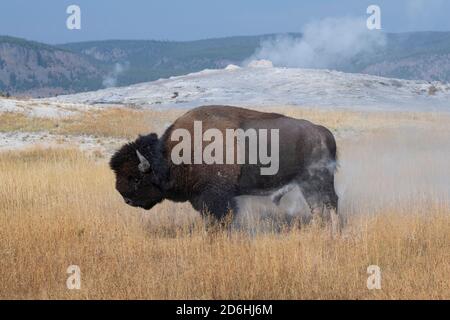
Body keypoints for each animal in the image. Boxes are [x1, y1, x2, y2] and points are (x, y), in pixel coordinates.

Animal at [110, 106, 340, 234]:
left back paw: (333, 232)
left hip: (318, 180)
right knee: (318, 207)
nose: (126, 199)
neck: (171, 156)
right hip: (306, 184)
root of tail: (324, 133)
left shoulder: (216, 197)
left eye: (135, 178)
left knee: (330, 203)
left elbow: (220, 219)